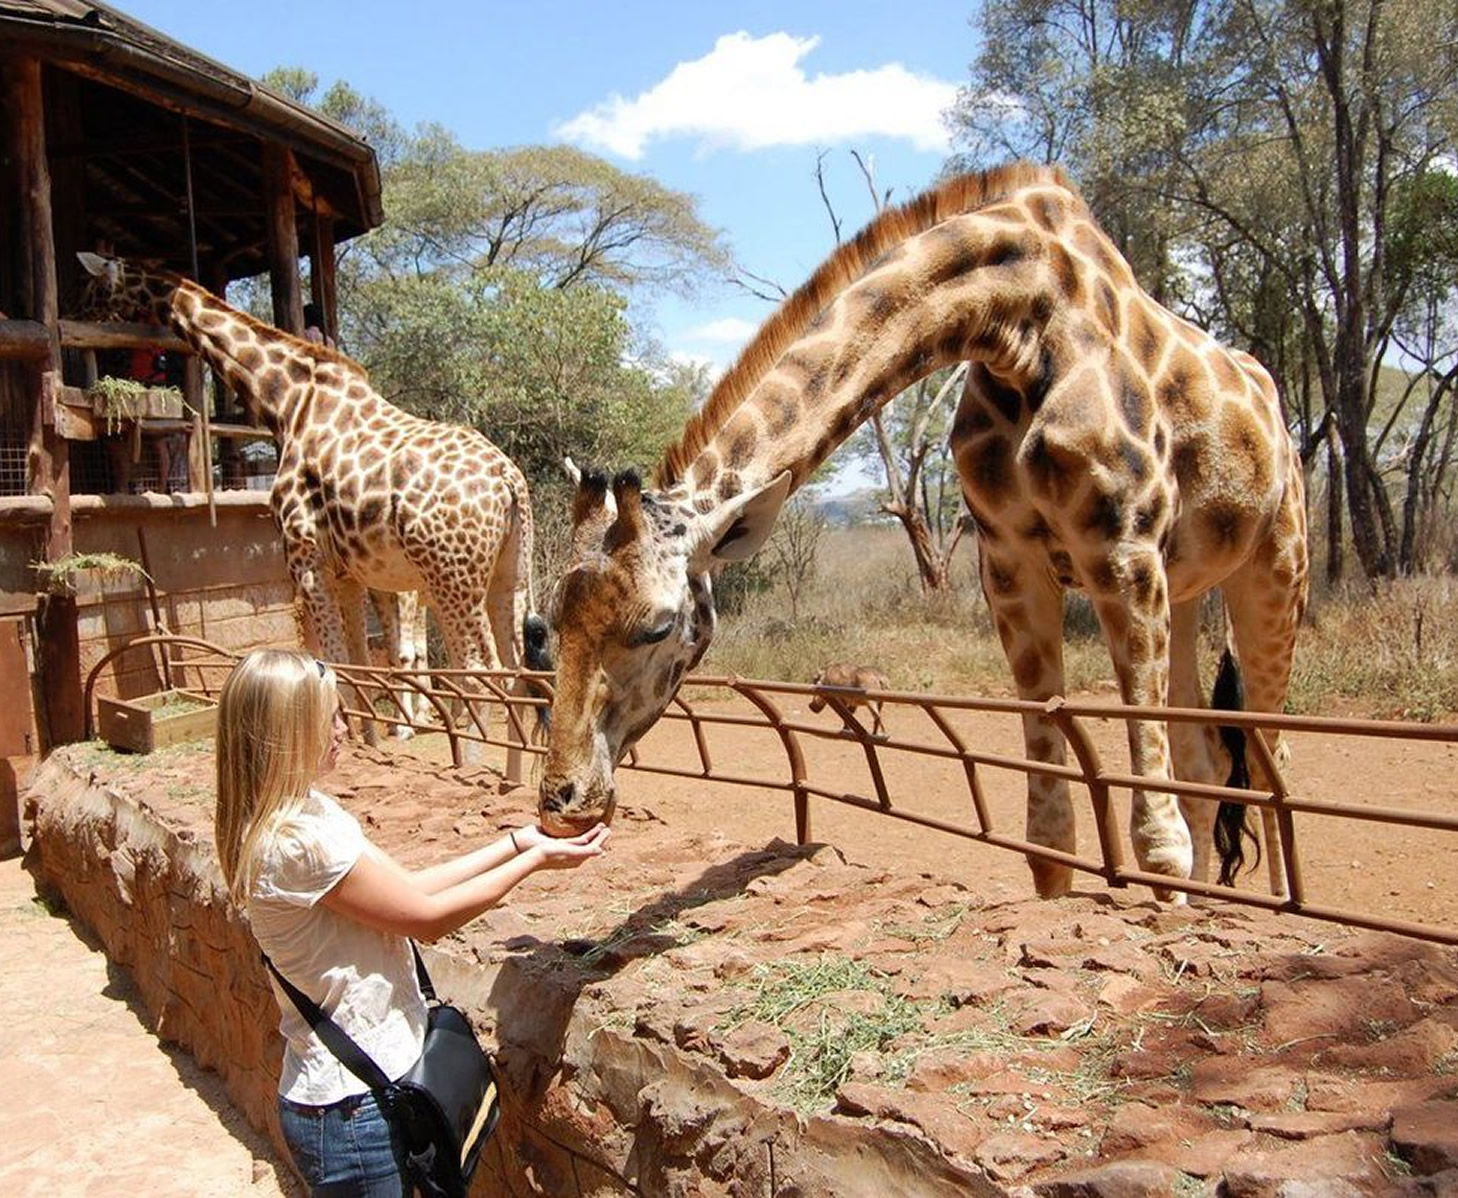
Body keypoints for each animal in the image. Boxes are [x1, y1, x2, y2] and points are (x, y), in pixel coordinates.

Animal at [79, 255, 548, 757]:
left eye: (94, 290)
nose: (86, 328)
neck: (286, 403)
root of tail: (508, 480)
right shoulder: (350, 574)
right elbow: (361, 664)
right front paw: (369, 742)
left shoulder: (304, 560)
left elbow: (335, 665)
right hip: (507, 573)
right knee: (517, 671)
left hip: (451, 577)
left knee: (481, 674)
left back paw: (472, 761)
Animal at [530, 163, 1306, 903]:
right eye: (551, 621)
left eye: (659, 626)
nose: (562, 803)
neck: (1019, 323)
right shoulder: (1010, 565)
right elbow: (1049, 833)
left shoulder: (1122, 549)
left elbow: (1159, 837)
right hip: (1187, 588)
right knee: (1206, 752)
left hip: (1273, 569)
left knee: (1272, 757)